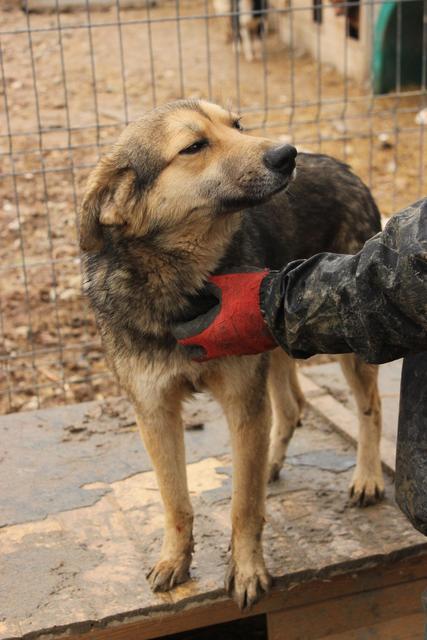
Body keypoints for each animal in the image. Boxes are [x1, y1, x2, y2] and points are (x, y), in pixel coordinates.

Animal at [79, 100, 384, 608]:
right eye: (193, 146)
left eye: (236, 125)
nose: (287, 154)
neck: (183, 287)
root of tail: (344, 167)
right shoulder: (154, 411)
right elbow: (174, 499)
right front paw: (174, 560)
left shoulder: (242, 403)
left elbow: (244, 505)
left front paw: (246, 570)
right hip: (279, 334)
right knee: (292, 406)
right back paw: (274, 463)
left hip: (347, 333)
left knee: (370, 408)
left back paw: (368, 477)